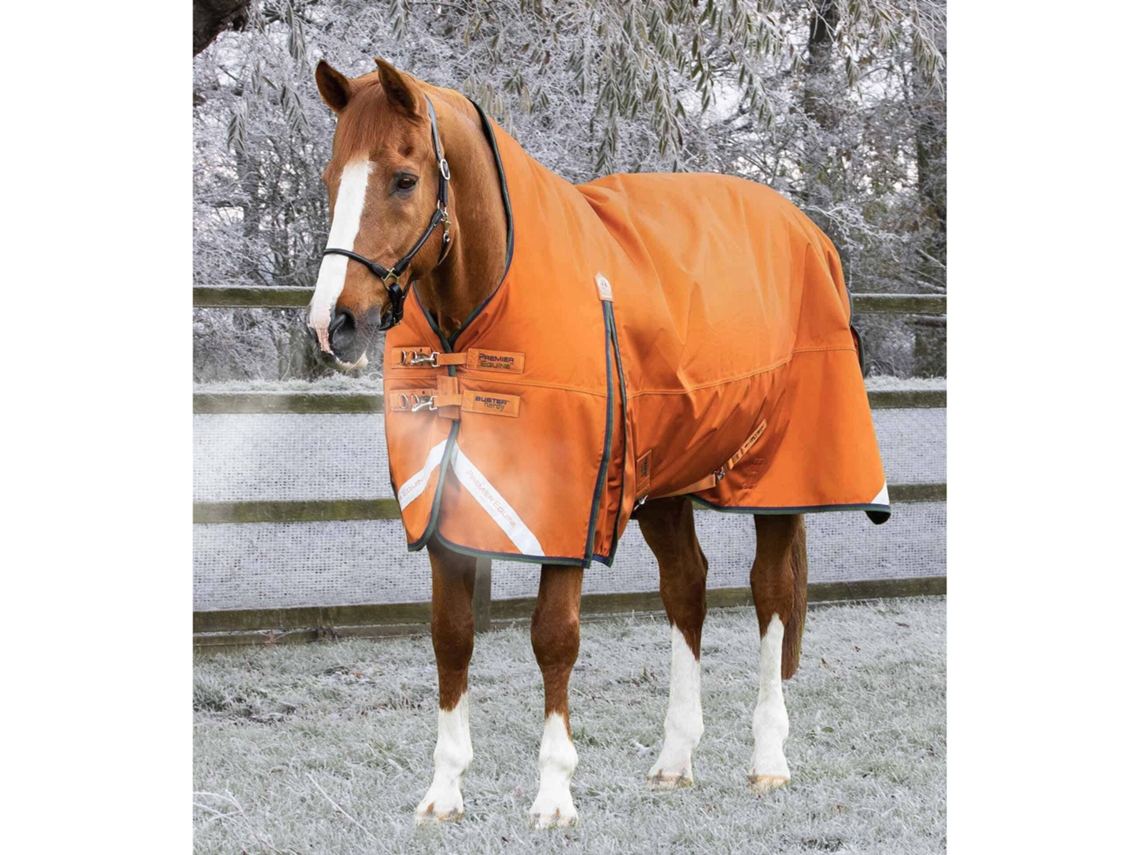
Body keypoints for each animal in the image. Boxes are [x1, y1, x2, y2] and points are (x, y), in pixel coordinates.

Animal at [305, 58, 887, 828]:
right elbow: (451, 635)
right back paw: (674, 761)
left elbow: (554, 637)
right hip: (664, 483)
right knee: (687, 588)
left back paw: (768, 761)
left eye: (403, 179)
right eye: (331, 177)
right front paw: (445, 792)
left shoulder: (567, 512)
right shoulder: (445, 508)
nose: (331, 323)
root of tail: (810, 234)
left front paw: (554, 794)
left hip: (778, 482)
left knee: (770, 596)